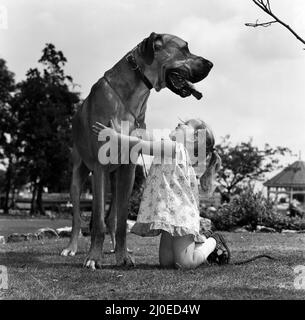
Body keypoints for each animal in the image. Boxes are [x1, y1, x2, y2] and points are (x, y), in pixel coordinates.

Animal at [60, 32, 213, 268]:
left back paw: (115, 249)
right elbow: (97, 222)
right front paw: (93, 258)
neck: (130, 97)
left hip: (116, 177)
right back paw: (72, 248)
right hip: (79, 175)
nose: (211, 64)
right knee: (77, 217)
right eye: (184, 48)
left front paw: (123, 256)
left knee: (112, 218)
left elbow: (122, 221)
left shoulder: (129, 168)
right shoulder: (99, 168)